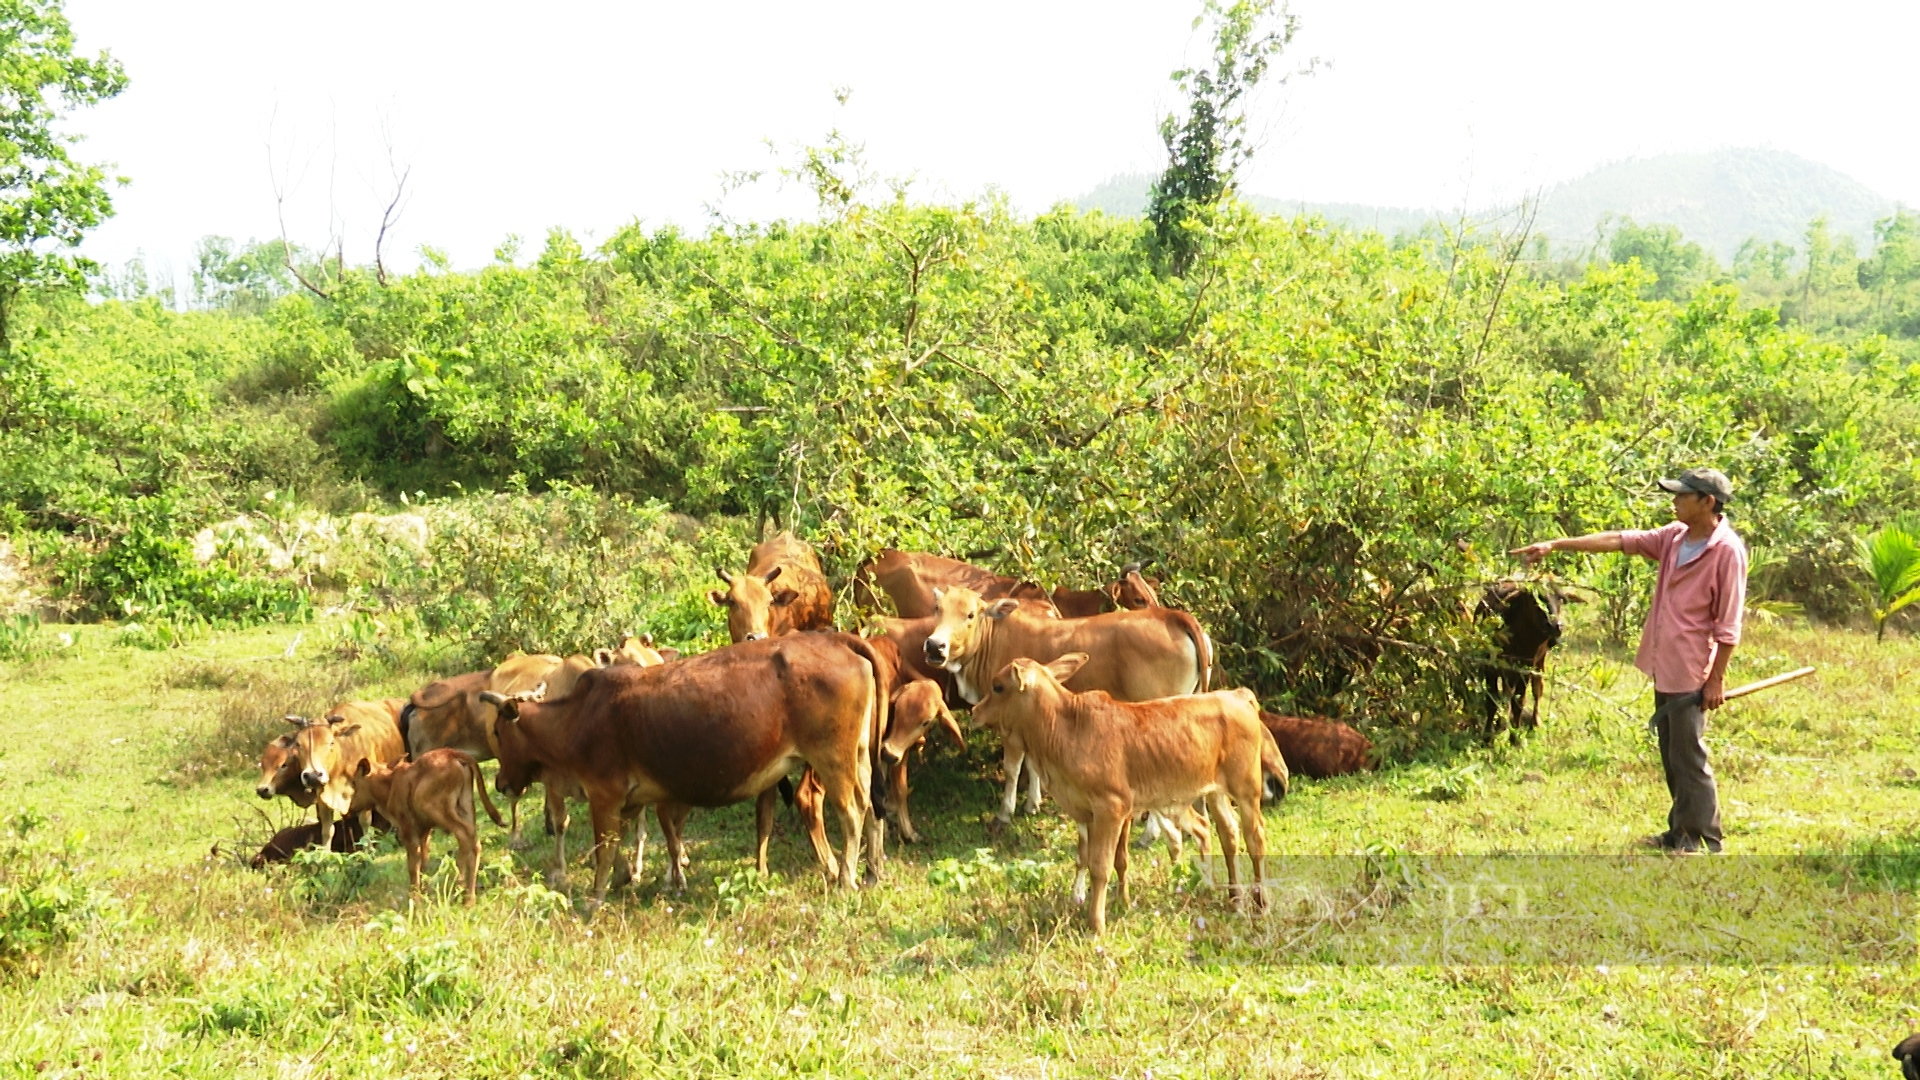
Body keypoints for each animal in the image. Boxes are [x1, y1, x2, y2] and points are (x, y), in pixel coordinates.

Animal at [288, 699, 408, 849]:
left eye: (331, 742)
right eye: (298, 744)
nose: (313, 776)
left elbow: (365, 821)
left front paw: (368, 849)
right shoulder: (322, 795)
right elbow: (327, 829)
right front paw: (324, 852)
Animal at [353, 749, 503, 899]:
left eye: (354, 783)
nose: (352, 808)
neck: (389, 785)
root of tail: (453, 753)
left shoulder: (407, 829)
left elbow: (413, 865)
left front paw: (415, 896)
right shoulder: (424, 829)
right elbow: (424, 861)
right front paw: (424, 891)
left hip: (438, 809)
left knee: (464, 836)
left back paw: (459, 885)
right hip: (466, 806)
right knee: (474, 841)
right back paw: (469, 896)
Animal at [487, 626, 890, 903]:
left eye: (498, 731)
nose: (500, 784)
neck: (577, 716)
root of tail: (840, 641)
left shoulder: (604, 794)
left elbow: (606, 848)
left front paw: (596, 897)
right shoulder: (632, 800)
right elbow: (629, 842)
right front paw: (626, 878)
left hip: (831, 758)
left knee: (851, 811)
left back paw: (846, 879)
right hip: (859, 755)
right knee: (872, 806)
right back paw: (872, 873)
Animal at [921, 584, 1205, 818]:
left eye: (970, 615)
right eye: (938, 608)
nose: (935, 645)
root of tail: (1173, 617)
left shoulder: (1011, 725)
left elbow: (1013, 768)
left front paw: (1006, 811)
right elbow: (1033, 764)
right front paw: (1033, 803)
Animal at [975, 645, 1274, 933]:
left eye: (998, 686)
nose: (975, 711)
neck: (1067, 729)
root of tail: (1236, 695)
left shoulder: (1112, 807)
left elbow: (1101, 865)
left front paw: (1096, 924)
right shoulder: (1088, 812)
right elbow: (1099, 859)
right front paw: (1115, 905)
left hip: (1247, 788)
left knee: (1255, 839)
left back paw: (1261, 905)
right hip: (1213, 792)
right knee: (1228, 834)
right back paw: (1234, 901)